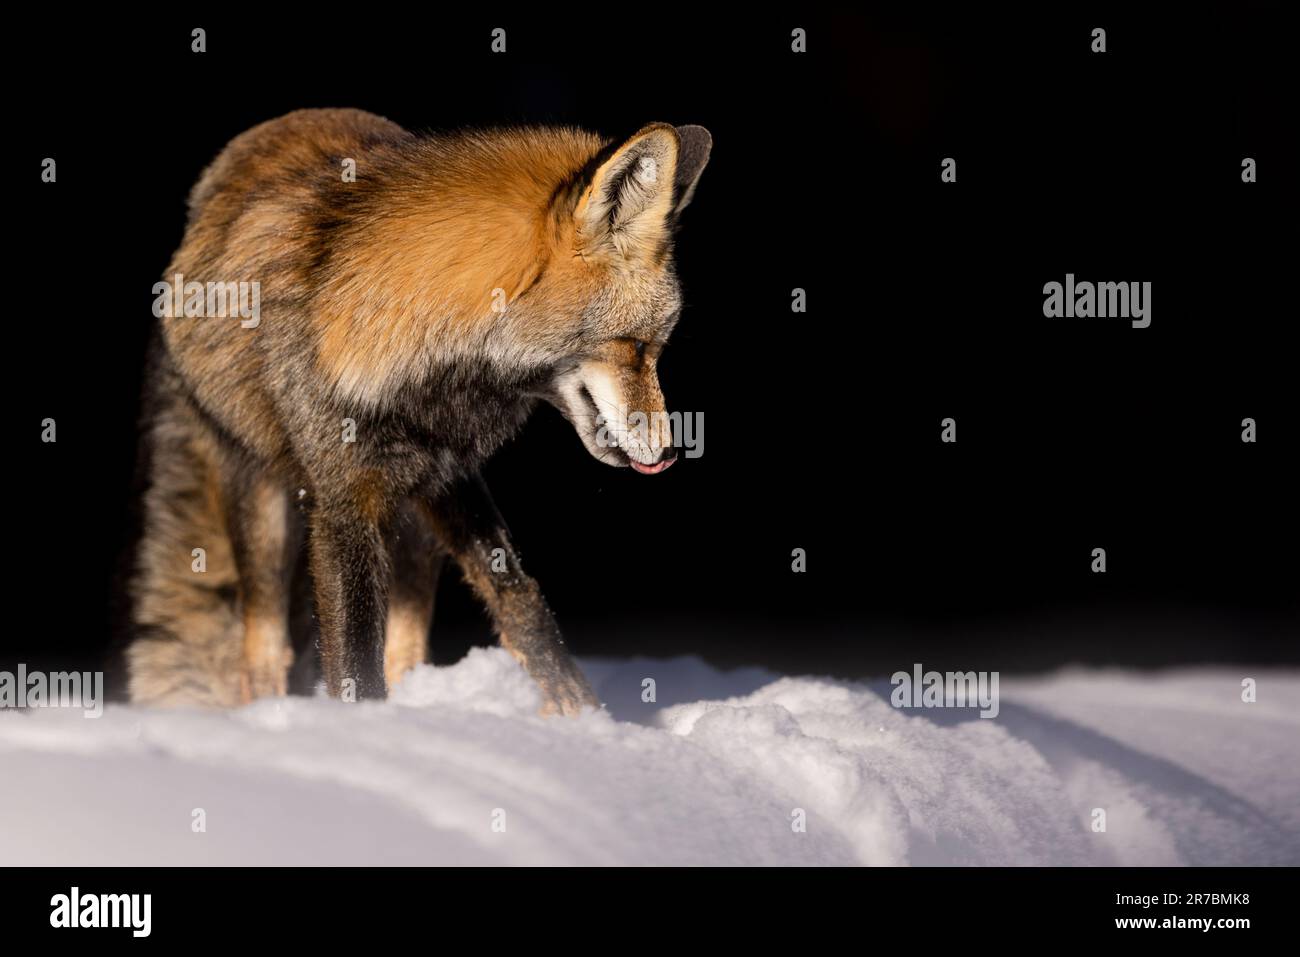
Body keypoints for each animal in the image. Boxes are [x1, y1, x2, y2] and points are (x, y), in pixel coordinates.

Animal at [126, 108, 712, 712]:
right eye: (634, 347)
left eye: (656, 348)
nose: (672, 451)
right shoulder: (343, 503)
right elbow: (356, 662)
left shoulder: (451, 476)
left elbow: (522, 603)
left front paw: (582, 717)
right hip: (259, 501)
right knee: (262, 648)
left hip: (413, 520)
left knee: (405, 646)